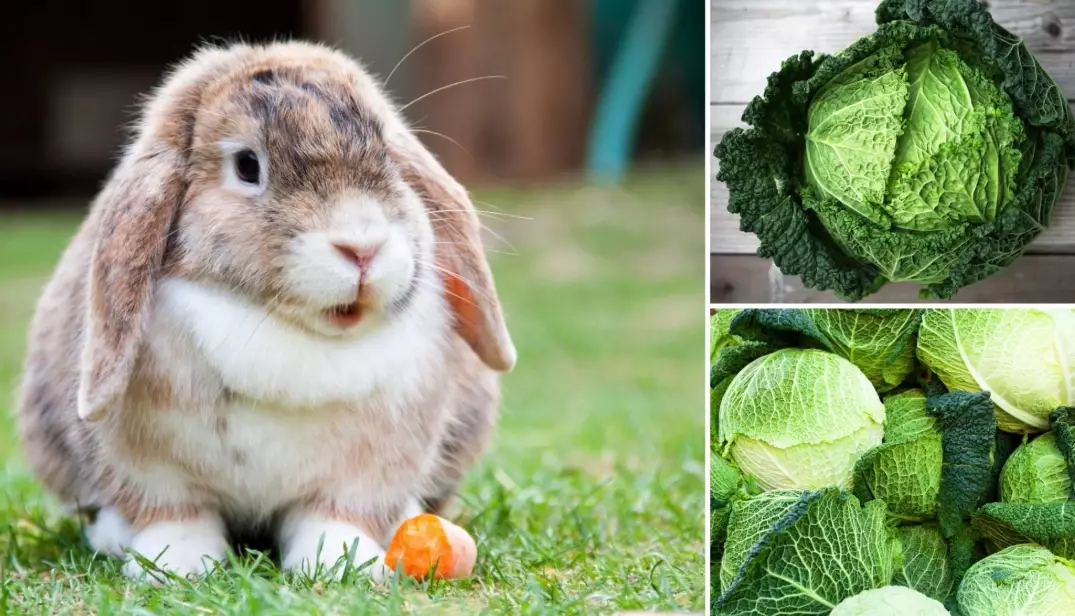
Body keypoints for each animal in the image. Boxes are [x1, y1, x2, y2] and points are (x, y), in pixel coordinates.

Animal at [15, 40, 516, 582]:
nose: (362, 247)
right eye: (247, 166)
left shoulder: (366, 473)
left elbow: (334, 517)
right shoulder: (152, 471)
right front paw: (177, 566)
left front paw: (342, 565)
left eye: (386, 152)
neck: (285, 329)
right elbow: (176, 516)